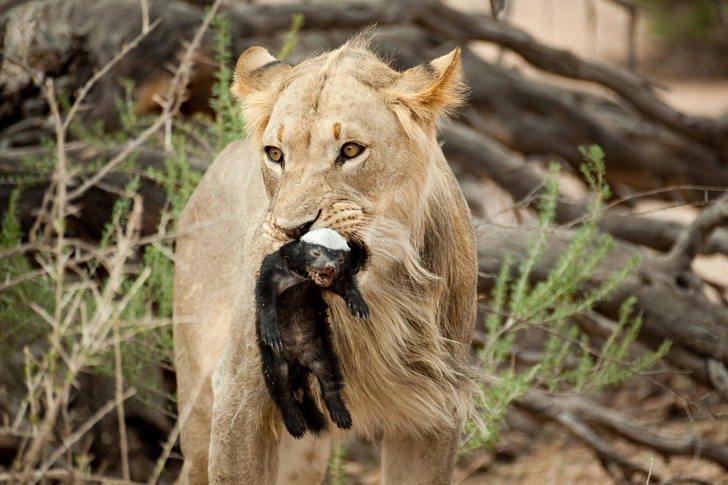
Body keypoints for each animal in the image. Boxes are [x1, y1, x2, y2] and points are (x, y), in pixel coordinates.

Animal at [171, 35, 478, 484]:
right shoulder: (238, 395)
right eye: (275, 154)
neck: (375, 298)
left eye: (350, 150)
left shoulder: (434, 411)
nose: (291, 229)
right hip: (197, 401)